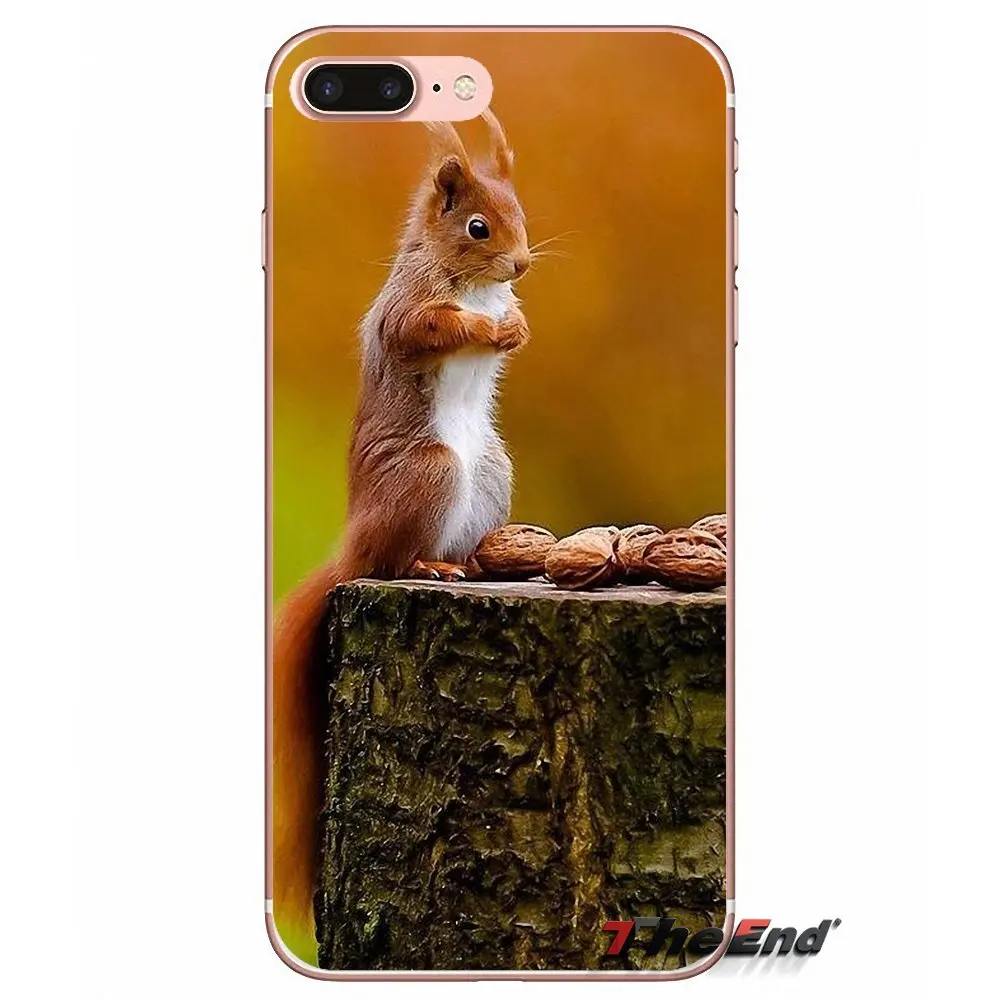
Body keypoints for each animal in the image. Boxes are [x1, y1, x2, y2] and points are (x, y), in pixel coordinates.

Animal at [272, 109, 531, 959]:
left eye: (523, 215)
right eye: (478, 226)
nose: (521, 264)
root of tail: (353, 546)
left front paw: (515, 324)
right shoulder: (407, 305)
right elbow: (426, 326)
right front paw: (484, 325)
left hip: (491, 475)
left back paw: (480, 560)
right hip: (429, 474)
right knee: (394, 558)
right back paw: (430, 565)